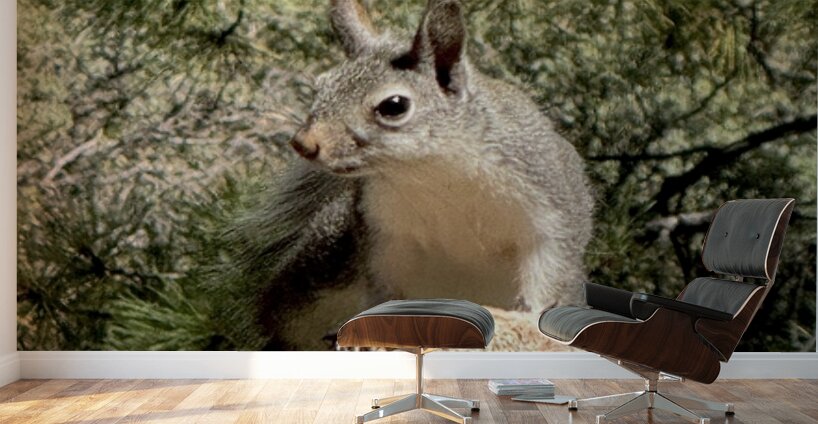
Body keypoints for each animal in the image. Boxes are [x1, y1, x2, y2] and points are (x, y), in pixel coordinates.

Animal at [212, 0, 594, 351]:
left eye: (394, 106)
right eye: (320, 87)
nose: (304, 142)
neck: (433, 173)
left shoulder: (550, 220)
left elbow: (544, 290)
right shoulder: (384, 236)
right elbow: (384, 295)